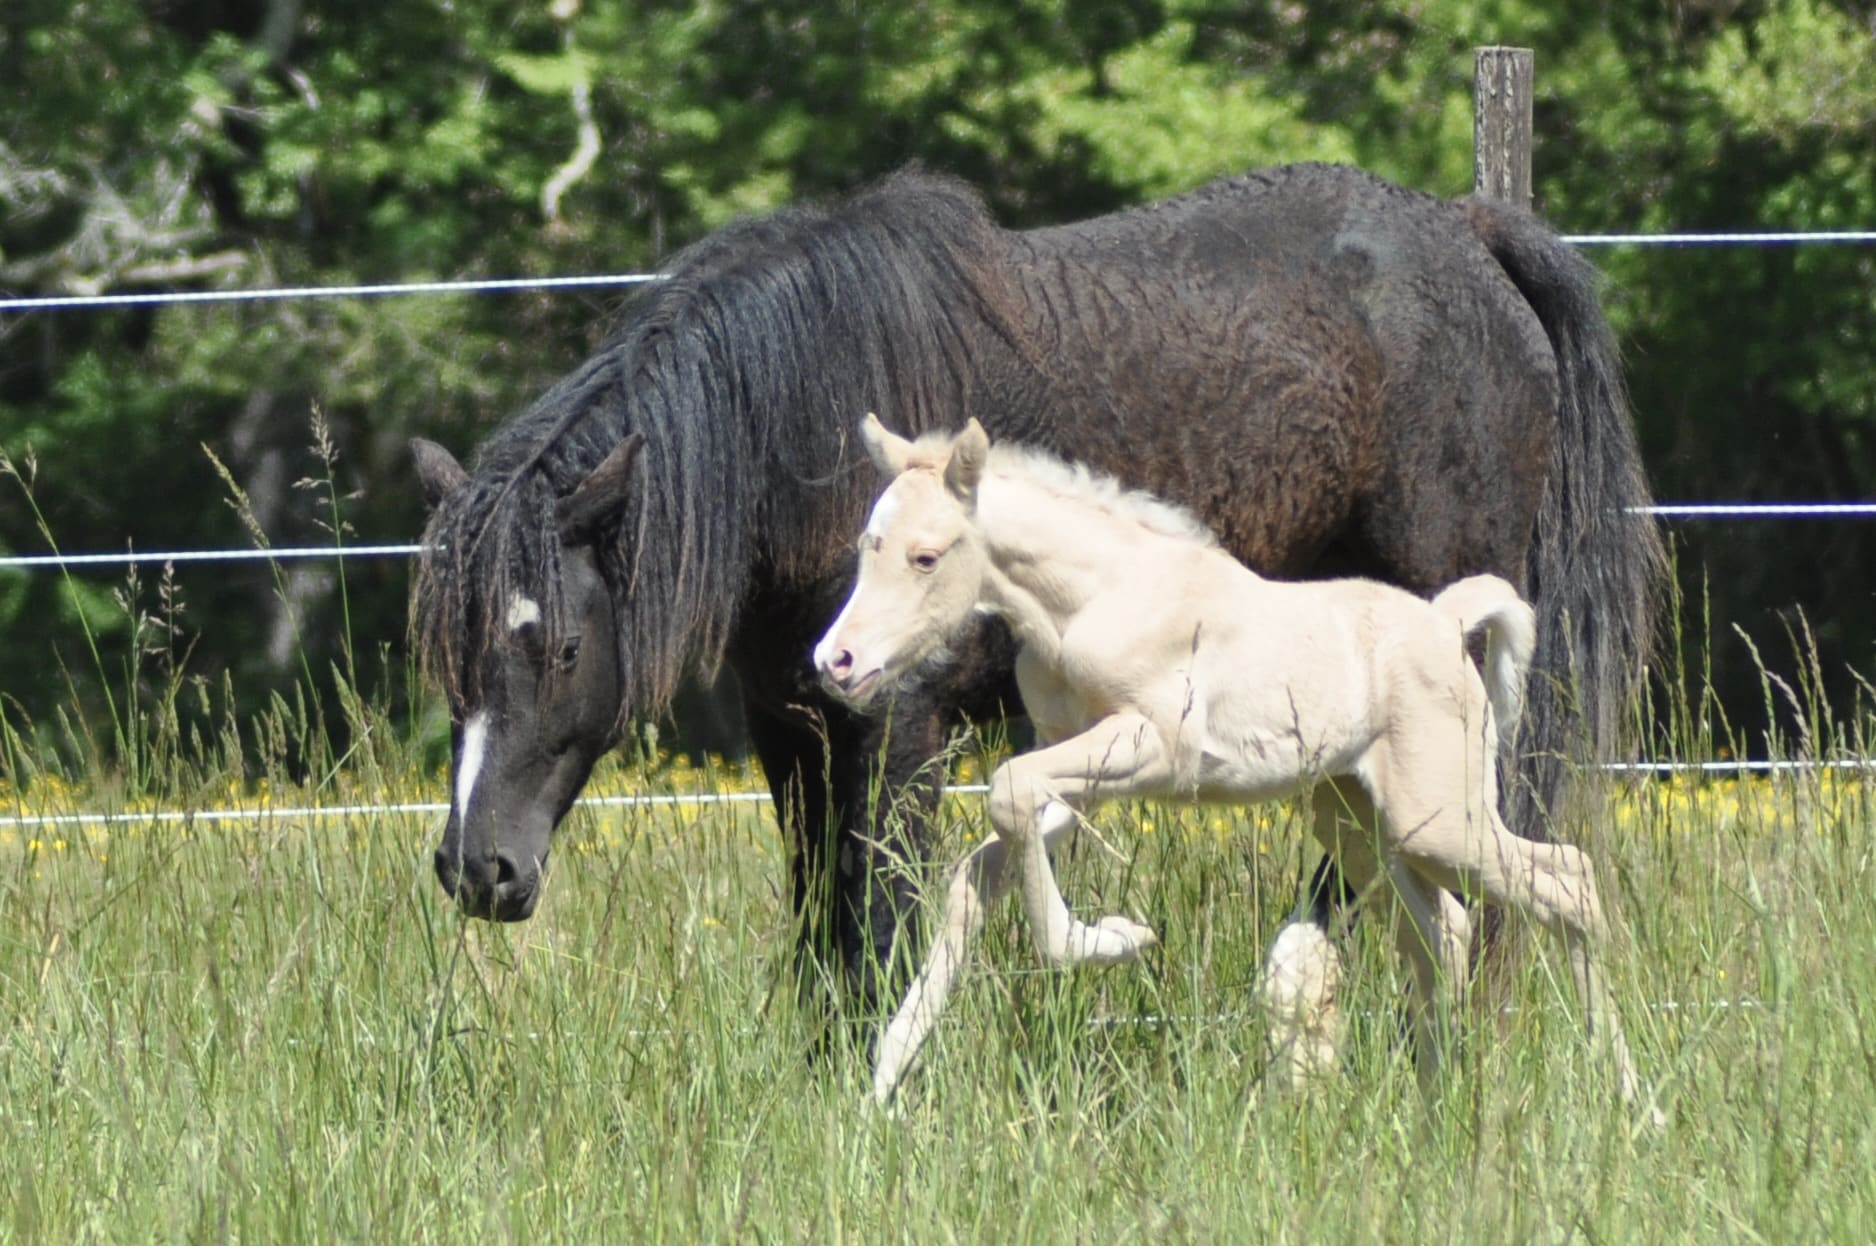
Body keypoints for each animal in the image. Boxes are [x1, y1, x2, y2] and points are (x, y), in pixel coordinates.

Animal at [410, 163, 1658, 1020]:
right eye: (450, 662)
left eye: (563, 650)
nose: (479, 870)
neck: (801, 433)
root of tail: (1466, 230)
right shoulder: (796, 730)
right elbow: (822, 932)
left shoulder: (898, 731)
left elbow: (883, 925)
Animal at [814, 416, 1650, 1110]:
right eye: (865, 547)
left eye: (926, 557)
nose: (836, 663)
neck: (1095, 599)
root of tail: (1446, 624)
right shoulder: (1079, 774)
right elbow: (978, 867)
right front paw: (877, 1095)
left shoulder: (1155, 748)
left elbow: (1009, 796)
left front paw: (1116, 939)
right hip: (1357, 819)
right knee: (1441, 929)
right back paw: (1435, 1107)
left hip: (1437, 819)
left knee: (1569, 883)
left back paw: (1633, 1102)